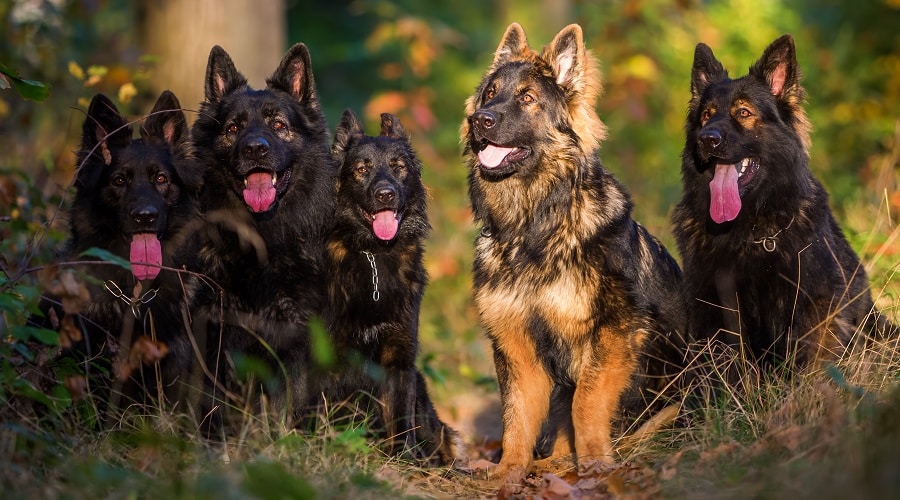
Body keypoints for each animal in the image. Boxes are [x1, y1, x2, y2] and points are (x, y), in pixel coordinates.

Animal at [192, 44, 336, 426]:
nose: (255, 148)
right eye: (233, 127)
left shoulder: (297, 334)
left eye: (278, 125)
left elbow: (291, 399)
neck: (262, 238)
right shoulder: (219, 330)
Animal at [312, 109, 460, 464]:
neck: (374, 255)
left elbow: (401, 420)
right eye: (362, 169)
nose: (385, 194)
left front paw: (404, 461)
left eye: (398, 166)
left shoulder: (399, 358)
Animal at [464, 23, 688, 480]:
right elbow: (517, 417)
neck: (533, 227)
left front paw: (597, 465)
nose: (479, 119)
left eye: (527, 98)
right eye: (490, 93)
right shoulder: (516, 345)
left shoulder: (614, 333)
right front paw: (508, 473)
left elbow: (586, 403)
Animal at [672, 35, 888, 370]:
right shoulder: (714, 302)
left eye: (743, 113)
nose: (706, 138)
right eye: (707, 114)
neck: (750, 228)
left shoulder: (815, 304)